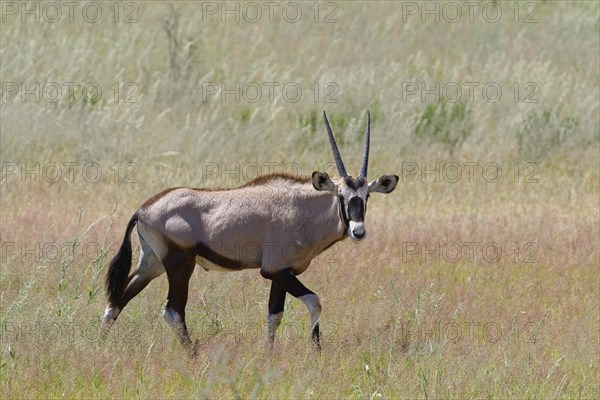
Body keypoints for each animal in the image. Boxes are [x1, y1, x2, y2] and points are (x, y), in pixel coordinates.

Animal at [102, 111, 398, 354]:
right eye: (341, 196)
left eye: (366, 196)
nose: (358, 231)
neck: (303, 209)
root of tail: (143, 209)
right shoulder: (276, 270)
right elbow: (314, 302)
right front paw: (315, 351)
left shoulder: (283, 273)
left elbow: (274, 315)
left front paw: (268, 354)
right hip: (179, 264)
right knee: (173, 312)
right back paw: (194, 355)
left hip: (152, 264)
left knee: (116, 301)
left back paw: (99, 345)